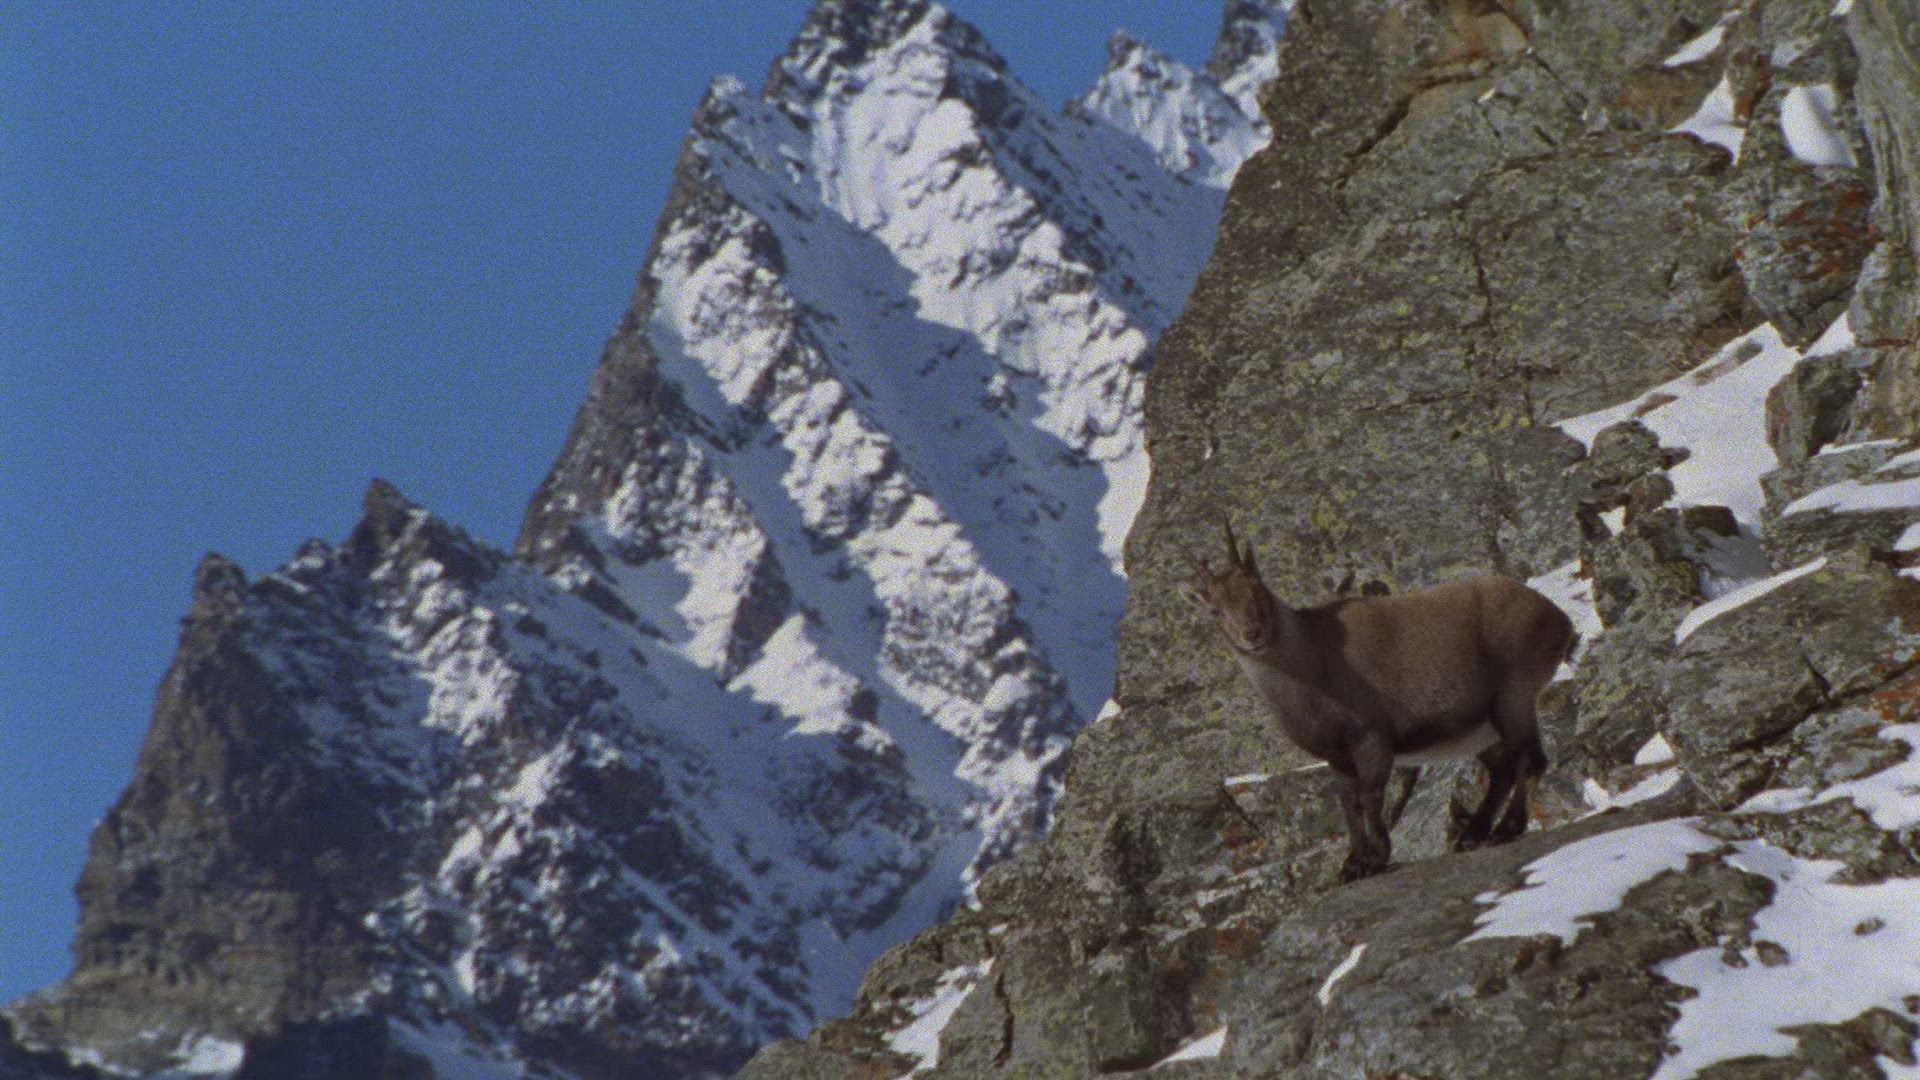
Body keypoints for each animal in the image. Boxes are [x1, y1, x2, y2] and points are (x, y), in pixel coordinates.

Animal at [1186, 519, 1575, 883]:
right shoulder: (1338, 756)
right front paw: (1352, 864)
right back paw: (1472, 835)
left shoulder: (1371, 737)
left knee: (1531, 760)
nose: (1252, 634)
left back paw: (1507, 829)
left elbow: (1370, 796)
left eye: (1258, 590)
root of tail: (1557, 616)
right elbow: (1348, 803)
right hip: (1481, 728)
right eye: (1215, 610)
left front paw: (1376, 857)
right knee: (1502, 770)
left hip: (1513, 698)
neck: (1311, 661)